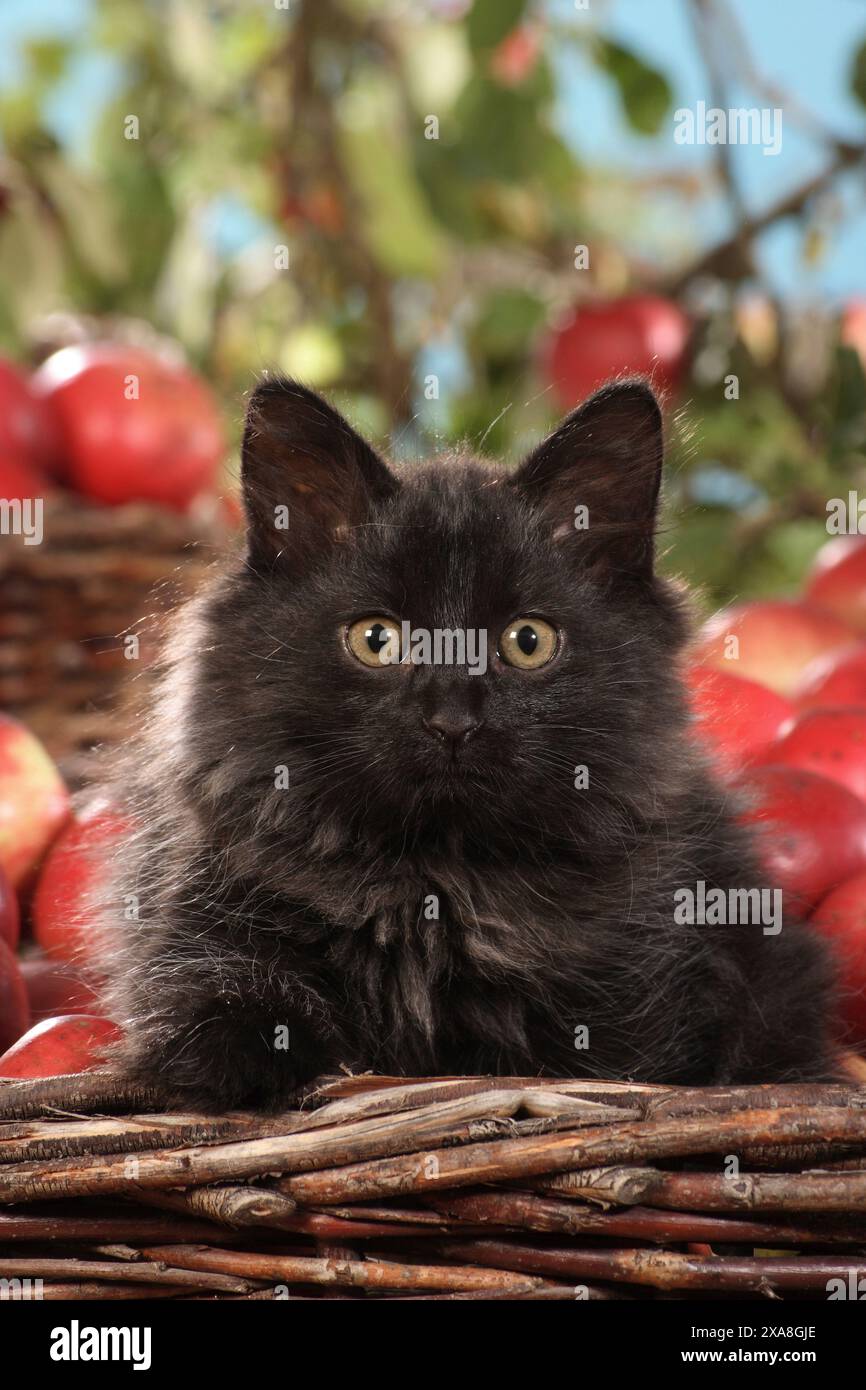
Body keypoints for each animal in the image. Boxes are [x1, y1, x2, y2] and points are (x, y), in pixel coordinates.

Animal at [100, 378, 839, 1106]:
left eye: (528, 641)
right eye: (376, 639)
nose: (452, 719)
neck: (433, 877)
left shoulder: (642, 995)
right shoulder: (194, 917)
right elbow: (218, 1007)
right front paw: (253, 1071)